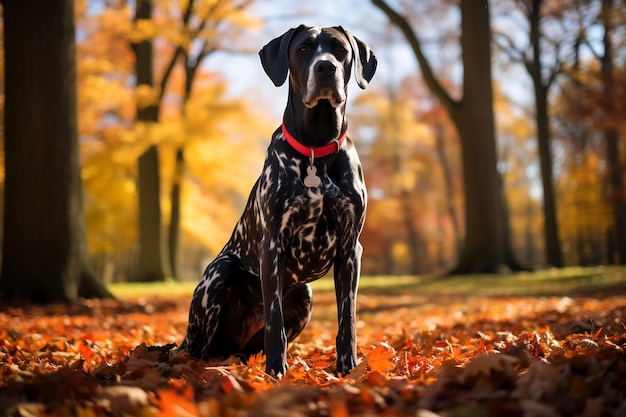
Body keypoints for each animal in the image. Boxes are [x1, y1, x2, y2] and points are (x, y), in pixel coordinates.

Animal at [180, 26, 376, 376]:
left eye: (340, 49)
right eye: (303, 49)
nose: (325, 67)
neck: (315, 149)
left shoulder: (350, 248)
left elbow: (348, 320)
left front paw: (347, 367)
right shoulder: (272, 244)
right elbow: (275, 320)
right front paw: (276, 371)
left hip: (303, 294)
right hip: (220, 275)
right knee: (198, 349)